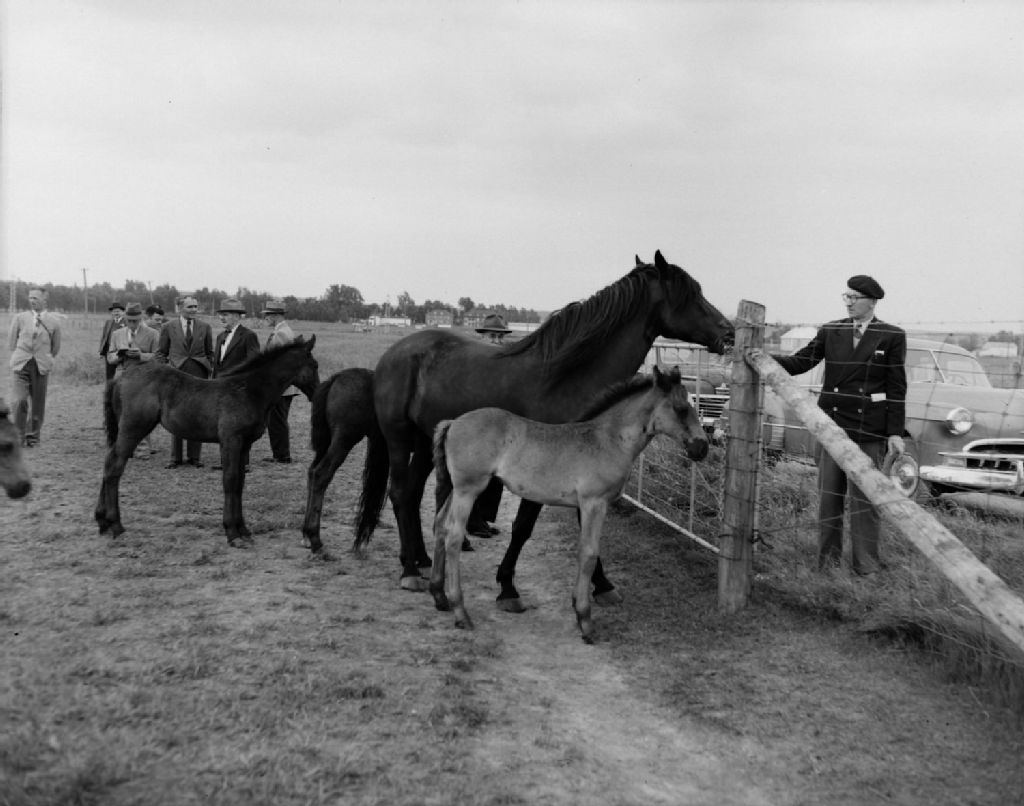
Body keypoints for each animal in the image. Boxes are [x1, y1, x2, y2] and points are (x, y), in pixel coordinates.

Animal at [95, 337, 320, 545]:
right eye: (315, 366)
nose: (317, 393)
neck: (248, 391)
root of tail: (119, 380)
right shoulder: (230, 440)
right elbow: (230, 480)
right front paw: (232, 533)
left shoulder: (244, 445)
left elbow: (240, 483)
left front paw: (244, 530)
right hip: (133, 429)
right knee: (114, 467)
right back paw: (116, 525)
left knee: (107, 463)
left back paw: (102, 521)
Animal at [301, 368, 389, 554]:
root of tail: (335, 378)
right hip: (344, 440)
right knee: (321, 474)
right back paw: (315, 539)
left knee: (312, 472)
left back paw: (306, 535)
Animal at [358, 250, 734, 605]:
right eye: (693, 293)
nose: (729, 333)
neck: (567, 376)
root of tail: (392, 356)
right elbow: (523, 526)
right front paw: (508, 587)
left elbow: (584, 526)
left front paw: (602, 585)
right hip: (398, 438)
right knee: (399, 493)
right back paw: (409, 571)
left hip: (425, 442)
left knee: (412, 495)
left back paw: (420, 559)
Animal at [430, 367, 708, 643]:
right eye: (680, 408)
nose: (702, 447)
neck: (608, 439)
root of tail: (452, 423)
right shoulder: (594, 503)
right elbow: (589, 553)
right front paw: (585, 620)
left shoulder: (585, 505)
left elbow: (585, 551)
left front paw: (578, 605)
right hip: (468, 489)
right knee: (453, 536)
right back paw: (460, 612)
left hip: (457, 489)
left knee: (440, 526)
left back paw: (439, 595)